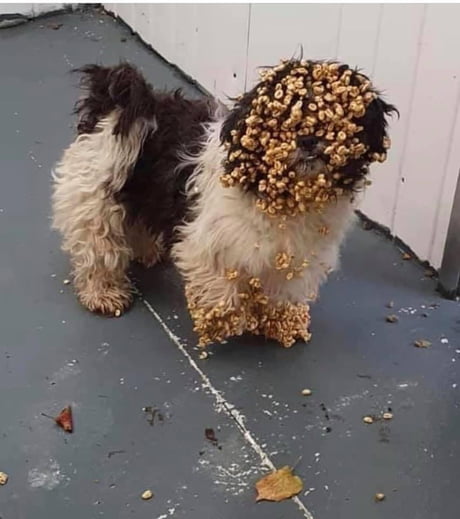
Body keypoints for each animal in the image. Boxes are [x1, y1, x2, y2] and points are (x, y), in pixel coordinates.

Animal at [52, 60, 398, 350]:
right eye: (281, 117)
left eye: (340, 115)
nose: (308, 139)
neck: (283, 198)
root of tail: (117, 102)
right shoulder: (207, 241)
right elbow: (220, 287)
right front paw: (228, 320)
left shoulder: (299, 254)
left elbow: (284, 289)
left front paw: (281, 322)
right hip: (94, 200)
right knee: (98, 250)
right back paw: (104, 293)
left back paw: (147, 251)